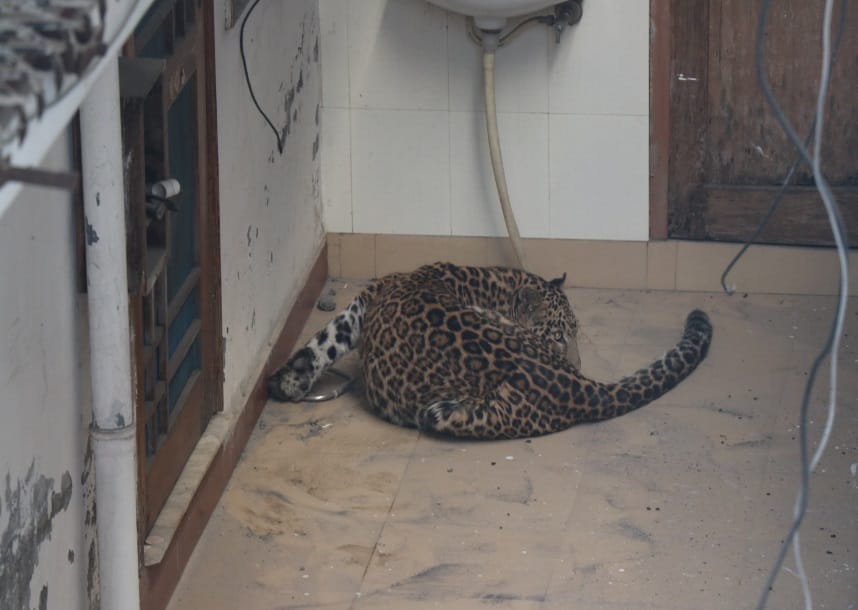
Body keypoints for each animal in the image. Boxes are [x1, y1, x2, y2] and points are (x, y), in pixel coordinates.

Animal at [268, 262, 713, 440]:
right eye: (559, 336)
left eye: (575, 335)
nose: (574, 361)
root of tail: (579, 386)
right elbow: (325, 340)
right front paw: (287, 383)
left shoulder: (365, 301)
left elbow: (327, 338)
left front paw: (286, 382)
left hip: (443, 414)